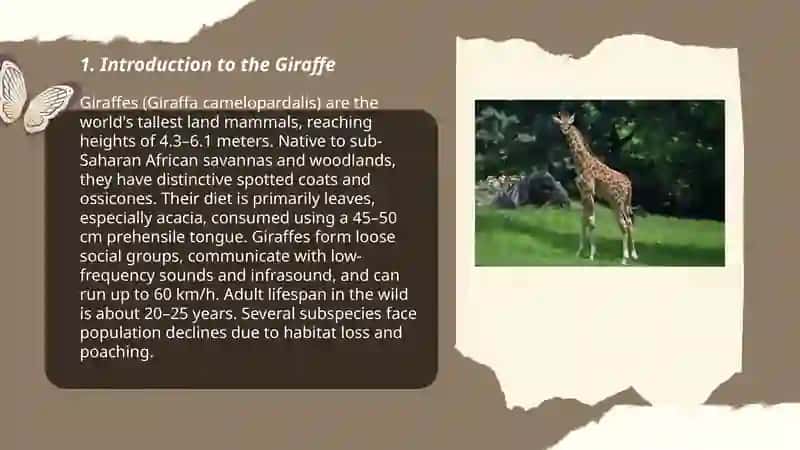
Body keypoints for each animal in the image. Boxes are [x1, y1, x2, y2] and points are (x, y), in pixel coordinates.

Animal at [552, 111, 638, 264]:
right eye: (561, 123)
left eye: (569, 124)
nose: (565, 130)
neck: (581, 163)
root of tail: (629, 185)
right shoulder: (582, 192)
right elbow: (583, 219)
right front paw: (579, 252)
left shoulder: (589, 191)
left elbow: (591, 221)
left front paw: (591, 254)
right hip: (621, 203)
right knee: (628, 222)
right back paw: (633, 255)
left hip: (617, 202)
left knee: (624, 224)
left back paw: (624, 258)